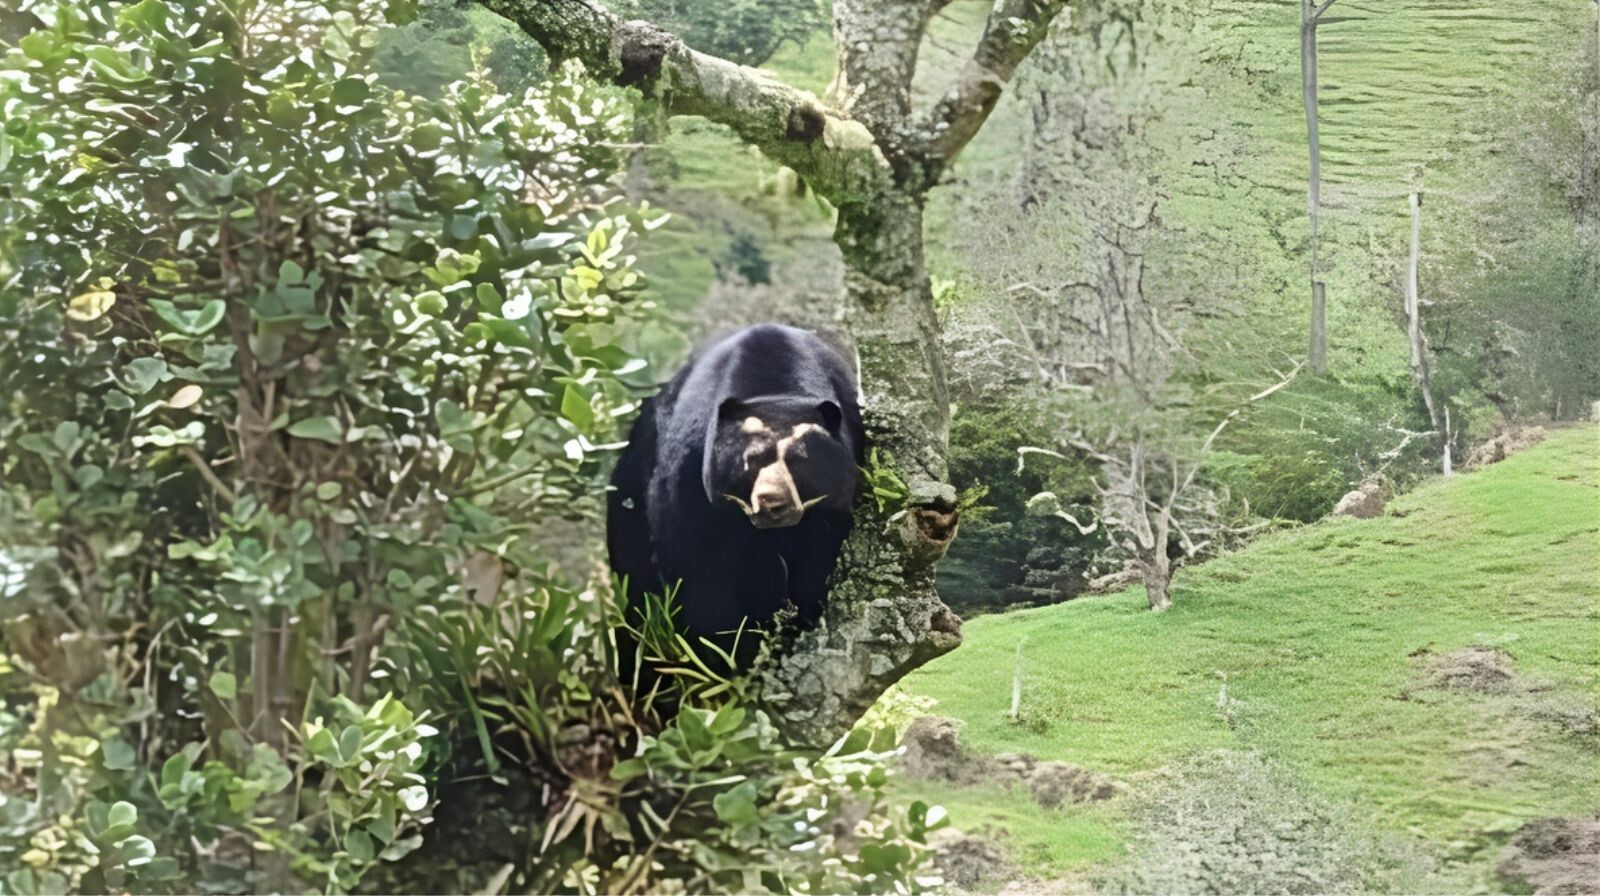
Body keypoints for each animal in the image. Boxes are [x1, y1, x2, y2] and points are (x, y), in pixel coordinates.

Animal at [607, 324, 866, 664]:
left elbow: (820, 561)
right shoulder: (689, 476)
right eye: (750, 461)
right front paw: (730, 654)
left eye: (800, 461)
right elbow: (697, 569)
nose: (772, 502)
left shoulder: (833, 505)